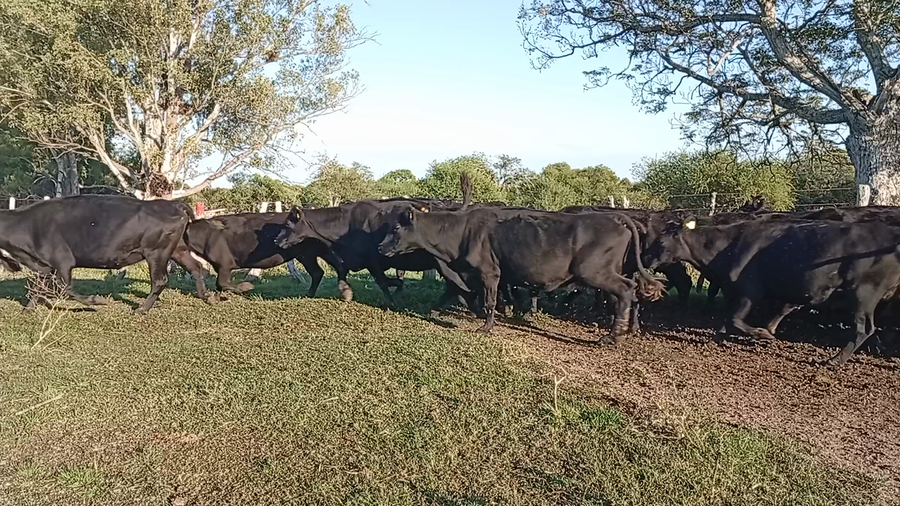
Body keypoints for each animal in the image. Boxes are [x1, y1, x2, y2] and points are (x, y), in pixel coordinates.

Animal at [0, 195, 193, 312]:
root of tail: (174, 204)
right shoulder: (44, 265)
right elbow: (37, 287)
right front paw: (28, 309)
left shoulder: (63, 261)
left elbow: (64, 288)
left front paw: (96, 301)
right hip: (178, 251)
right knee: (195, 268)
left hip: (156, 252)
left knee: (160, 280)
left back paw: (141, 309)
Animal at [171, 213, 352, 303]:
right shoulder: (220, 266)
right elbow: (220, 286)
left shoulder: (225, 265)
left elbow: (221, 283)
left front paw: (247, 287)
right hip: (308, 254)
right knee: (320, 271)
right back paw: (310, 294)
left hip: (314, 252)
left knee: (335, 266)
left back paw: (345, 292)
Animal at [377, 207, 665, 336]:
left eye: (396, 228)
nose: (380, 247)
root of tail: (617, 217)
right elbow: (458, 292)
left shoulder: (490, 272)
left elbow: (490, 300)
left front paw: (485, 327)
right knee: (627, 295)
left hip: (594, 272)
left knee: (626, 291)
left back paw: (613, 337)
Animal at [642, 215, 900, 366]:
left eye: (661, 242)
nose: (644, 256)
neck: (727, 246)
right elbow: (729, 318)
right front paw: (720, 337)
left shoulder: (750, 291)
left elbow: (735, 319)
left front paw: (762, 334)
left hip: (863, 294)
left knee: (863, 328)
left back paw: (833, 361)